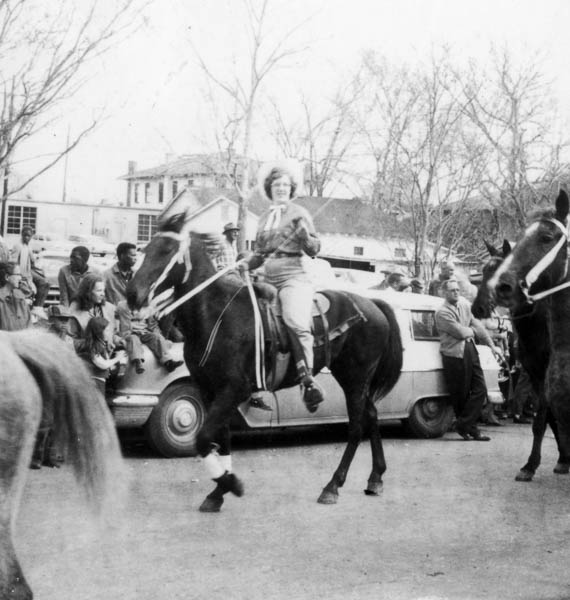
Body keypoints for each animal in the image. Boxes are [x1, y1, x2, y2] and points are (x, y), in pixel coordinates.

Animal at [127, 213, 404, 508]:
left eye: (167, 250)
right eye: (147, 248)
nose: (133, 294)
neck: (217, 314)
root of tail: (373, 303)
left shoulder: (234, 390)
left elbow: (203, 439)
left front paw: (231, 484)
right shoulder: (209, 390)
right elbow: (221, 439)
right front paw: (218, 492)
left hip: (356, 377)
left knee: (356, 427)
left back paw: (333, 486)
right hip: (353, 377)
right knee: (372, 415)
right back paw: (375, 478)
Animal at [472, 192, 570, 482]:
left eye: (547, 237)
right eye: (483, 271)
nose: (478, 308)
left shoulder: (542, 373)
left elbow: (544, 417)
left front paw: (554, 460)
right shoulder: (535, 373)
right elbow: (547, 418)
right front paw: (542, 462)